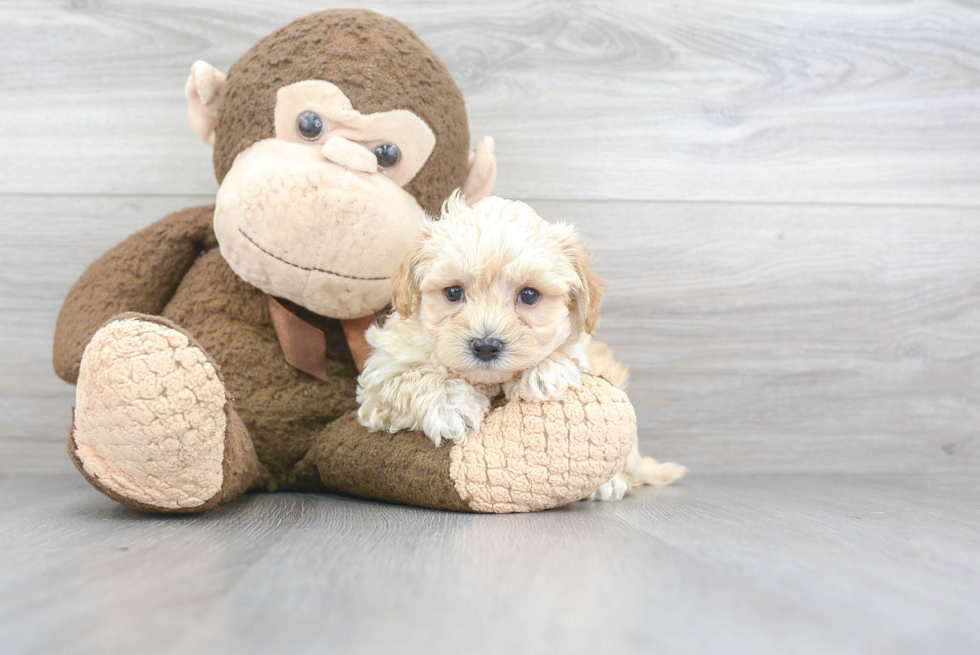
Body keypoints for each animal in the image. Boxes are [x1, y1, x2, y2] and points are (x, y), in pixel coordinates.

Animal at [356, 195, 684, 502]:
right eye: (453, 292)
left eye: (528, 295)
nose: (486, 346)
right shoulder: (382, 373)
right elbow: (413, 376)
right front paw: (452, 404)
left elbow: (564, 357)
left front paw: (546, 371)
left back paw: (610, 482)